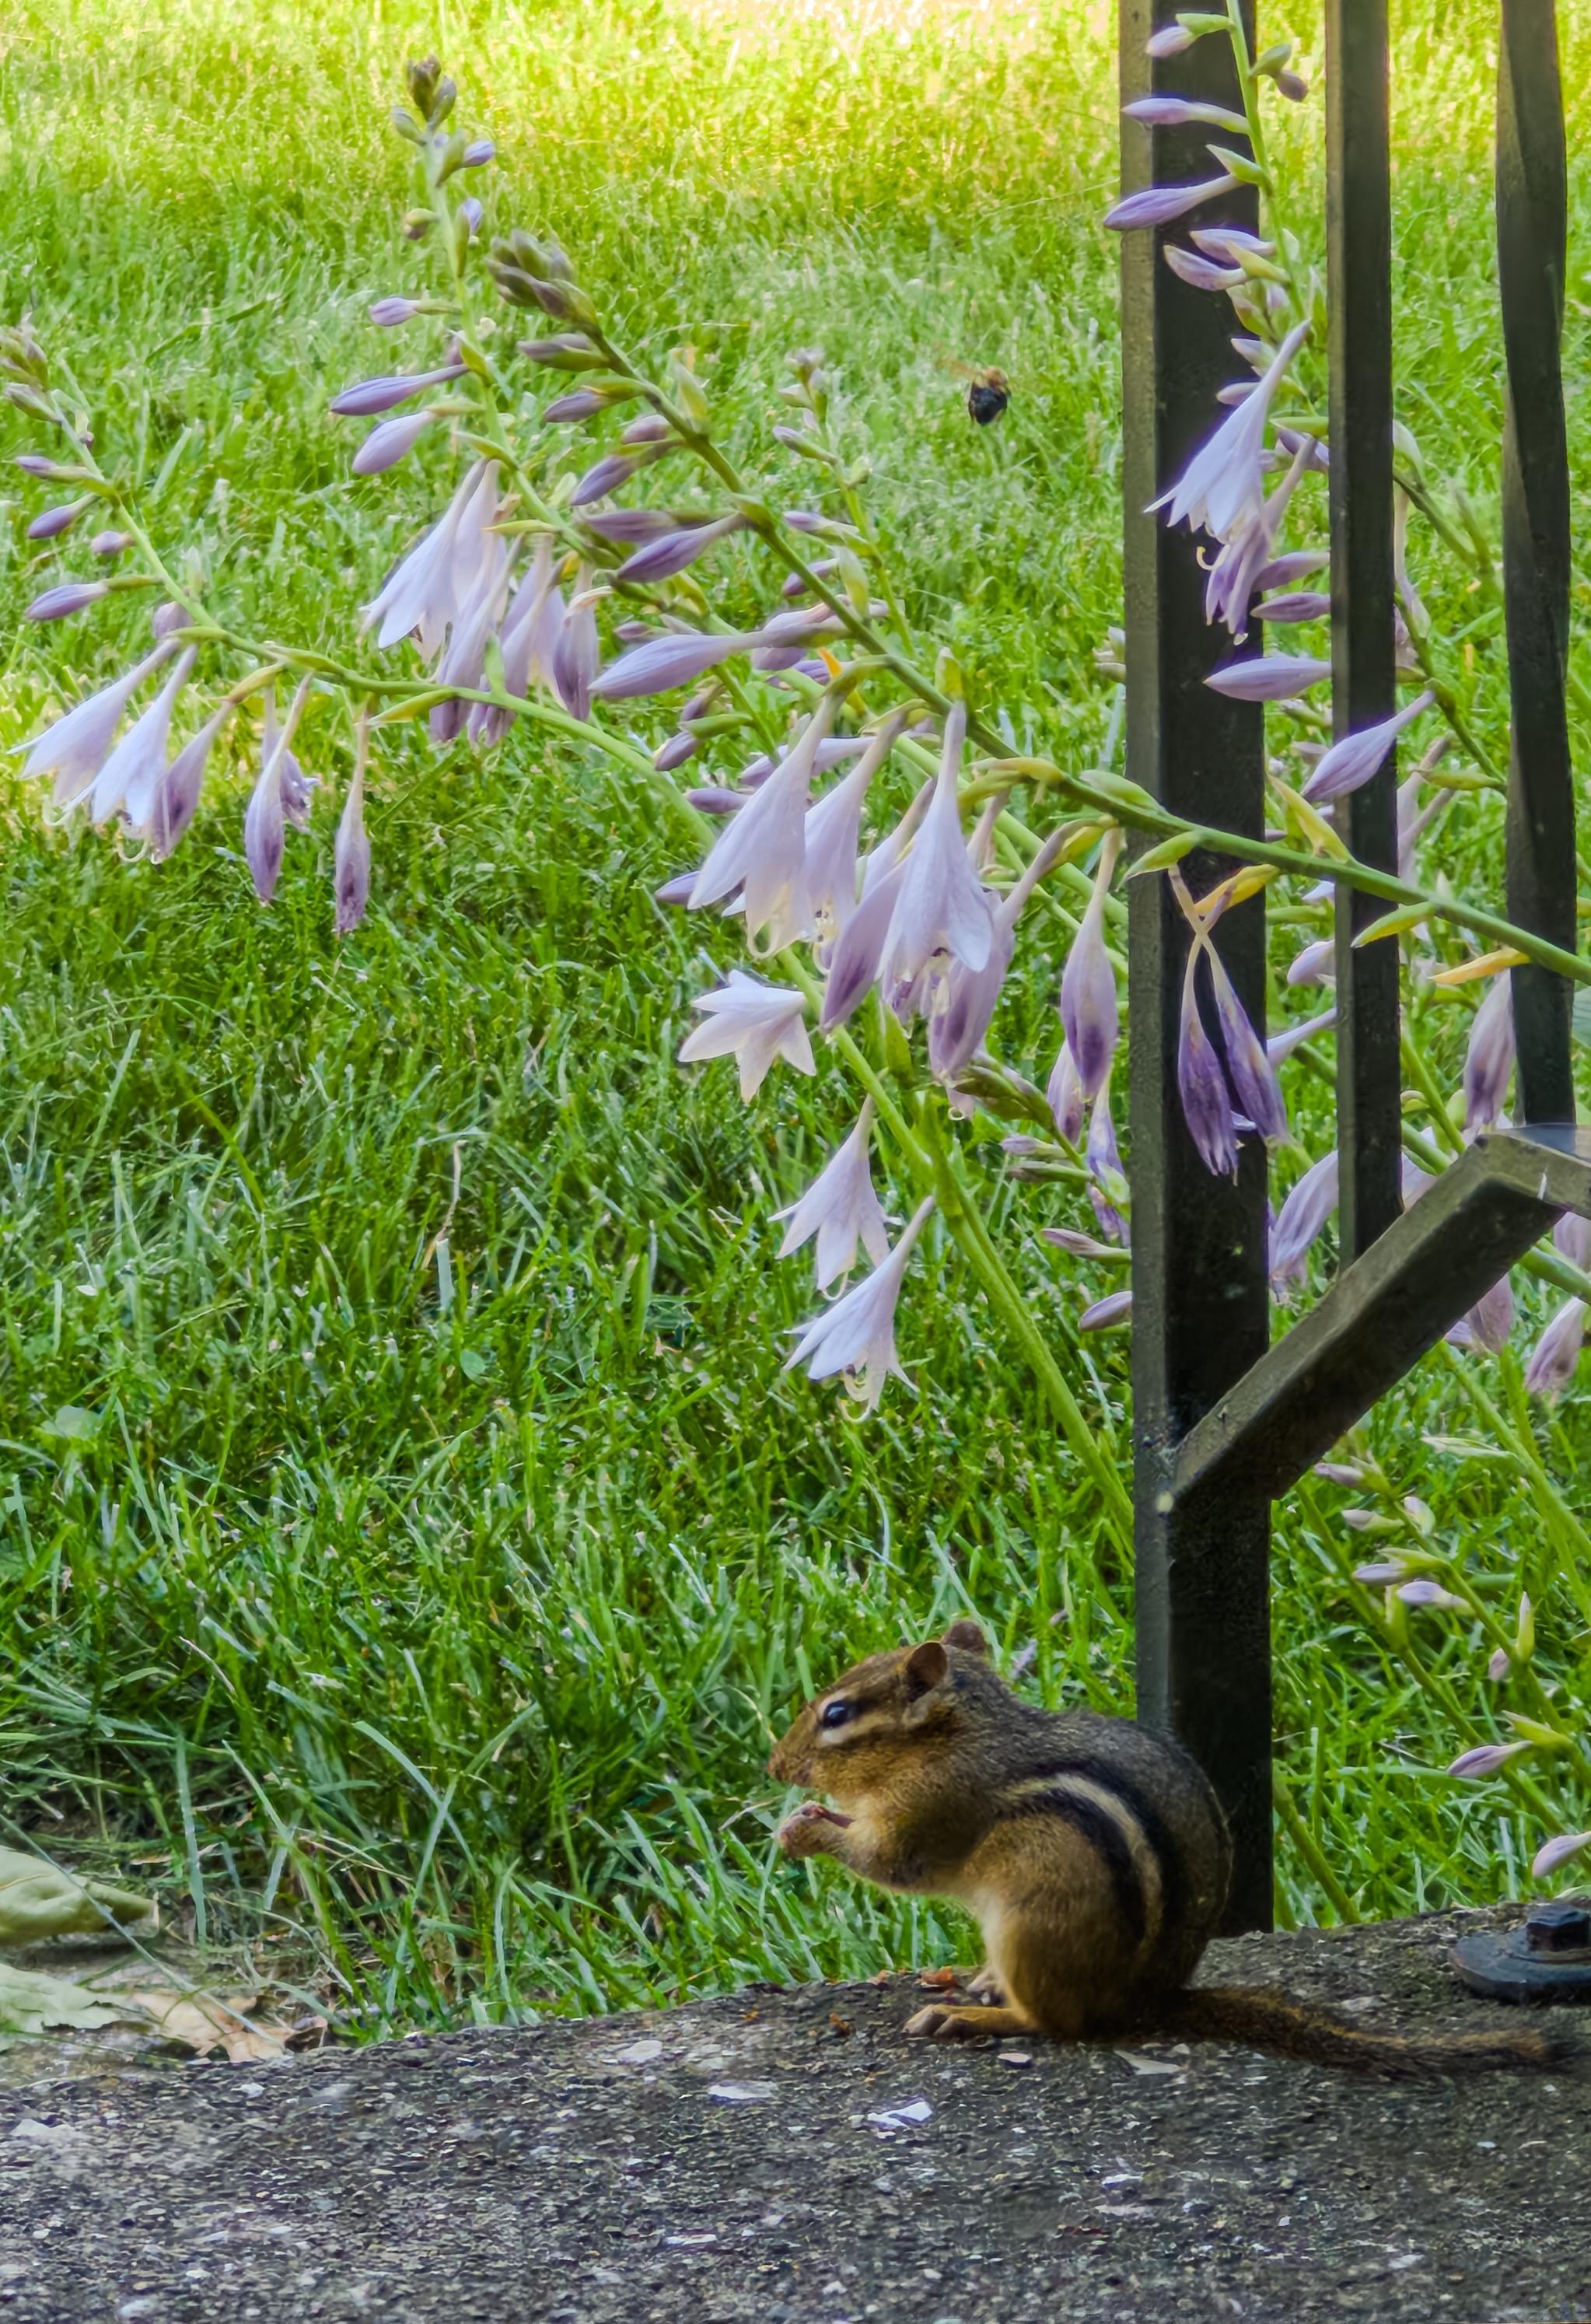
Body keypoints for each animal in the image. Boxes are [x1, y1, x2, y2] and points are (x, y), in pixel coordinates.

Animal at [769, 1619, 1579, 2076]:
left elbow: (891, 1863)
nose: (776, 1767)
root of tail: (1146, 2001)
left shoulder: (935, 1810)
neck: (958, 1736)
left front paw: (803, 1828)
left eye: (835, 1714)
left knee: (1058, 2025)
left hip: (1031, 1923)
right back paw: (979, 1983)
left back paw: (977, 2018)